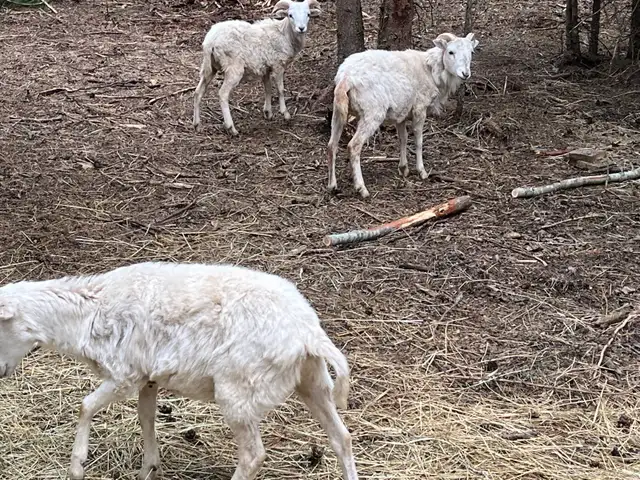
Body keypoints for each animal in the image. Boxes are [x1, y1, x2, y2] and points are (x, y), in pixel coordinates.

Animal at [0, 261, 358, 480]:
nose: (1, 371)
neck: (87, 315)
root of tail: (308, 332)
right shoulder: (148, 376)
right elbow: (145, 416)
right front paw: (149, 468)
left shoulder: (125, 373)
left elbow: (85, 406)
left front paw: (77, 465)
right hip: (312, 380)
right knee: (341, 437)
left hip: (239, 389)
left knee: (254, 455)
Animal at [192, 0, 321, 135]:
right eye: (290, 15)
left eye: (308, 14)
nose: (301, 28)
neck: (285, 35)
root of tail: (210, 42)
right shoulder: (278, 65)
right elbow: (280, 89)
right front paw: (285, 114)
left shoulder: (265, 68)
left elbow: (268, 88)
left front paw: (268, 112)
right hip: (233, 67)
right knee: (223, 94)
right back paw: (231, 127)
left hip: (209, 66)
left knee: (198, 92)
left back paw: (197, 124)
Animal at [326, 32, 480, 198]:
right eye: (451, 52)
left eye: (472, 52)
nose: (465, 74)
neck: (431, 70)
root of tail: (345, 78)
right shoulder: (420, 108)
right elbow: (418, 141)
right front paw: (422, 171)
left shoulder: (401, 113)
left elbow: (403, 139)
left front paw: (403, 168)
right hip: (372, 113)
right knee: (353, 146)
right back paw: (361, 188)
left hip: (338, 111)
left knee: (331, 145)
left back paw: (332, 185)